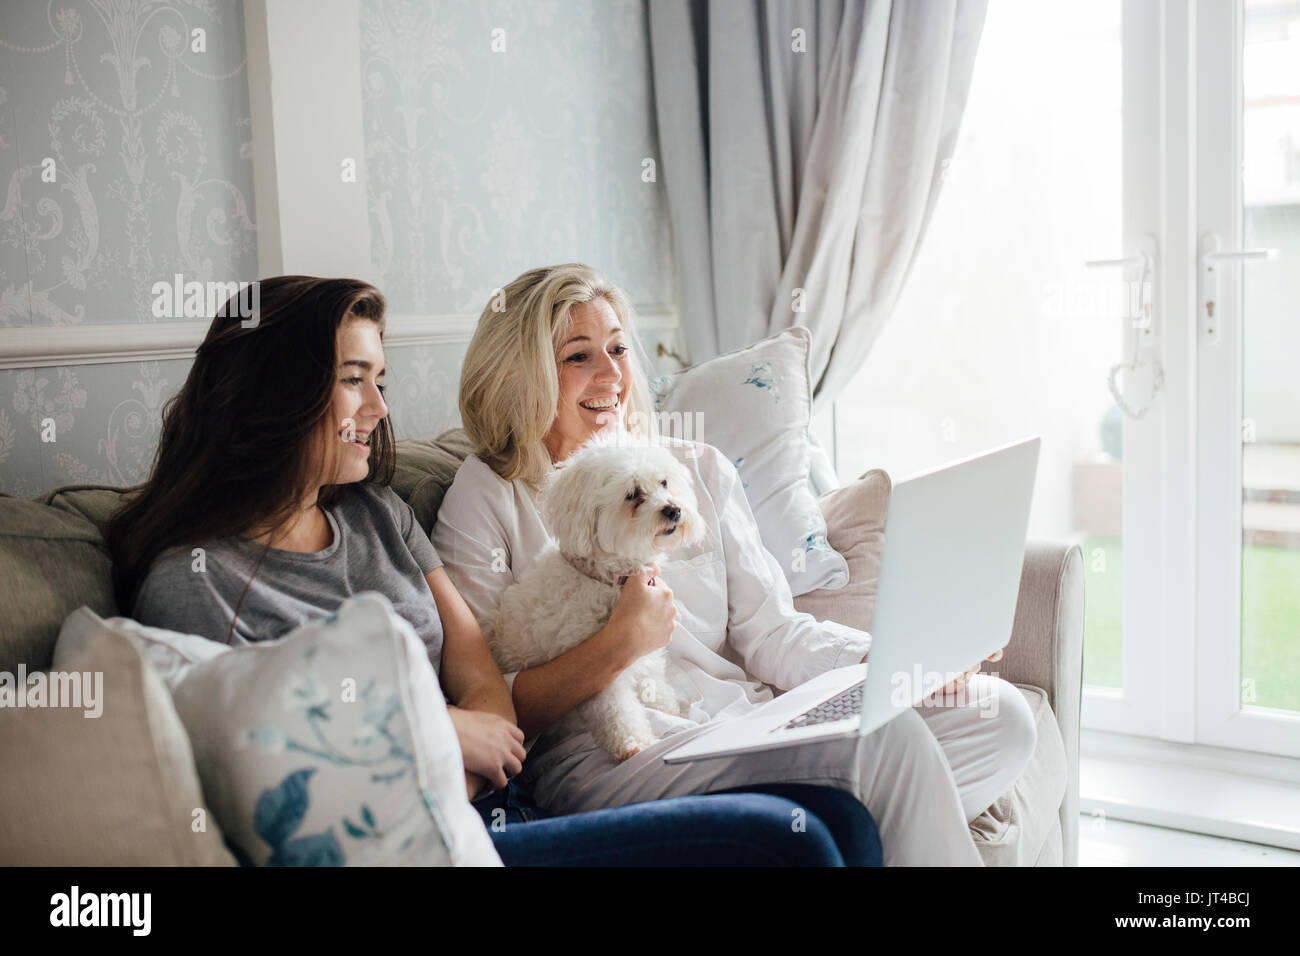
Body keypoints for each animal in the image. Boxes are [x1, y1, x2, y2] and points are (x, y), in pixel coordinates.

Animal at [493, 434, 702, 764]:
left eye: (664, 482)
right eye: (632, 495)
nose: (673, 510)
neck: (609, 580)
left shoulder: (642, 651)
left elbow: (652, 676)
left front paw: (665, 705)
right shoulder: (599, 665)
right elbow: (617, 710)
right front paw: (634, 743)